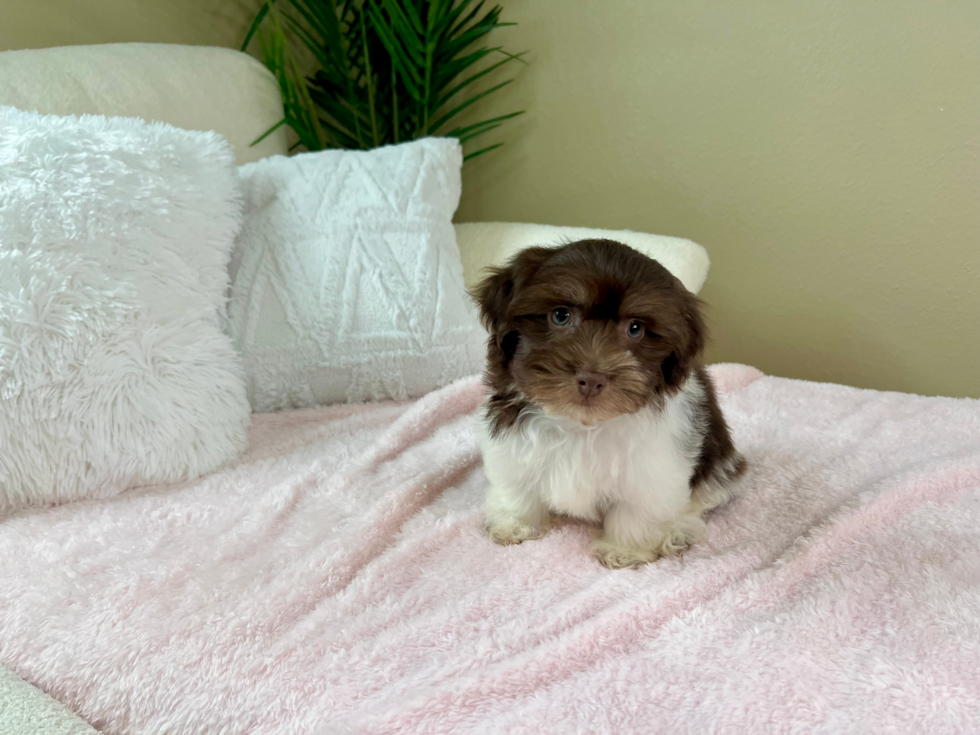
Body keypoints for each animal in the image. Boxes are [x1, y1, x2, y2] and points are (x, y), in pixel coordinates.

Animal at [472, 239, 744, 568]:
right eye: (560, 315)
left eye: (636, 328)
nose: (591, 379)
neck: (580, 424)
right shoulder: (513, 445)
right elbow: (517, 485)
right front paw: (514, 524)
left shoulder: (655, 466)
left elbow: (637, 508)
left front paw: (626, 549)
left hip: (720, 465)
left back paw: (676, 531)